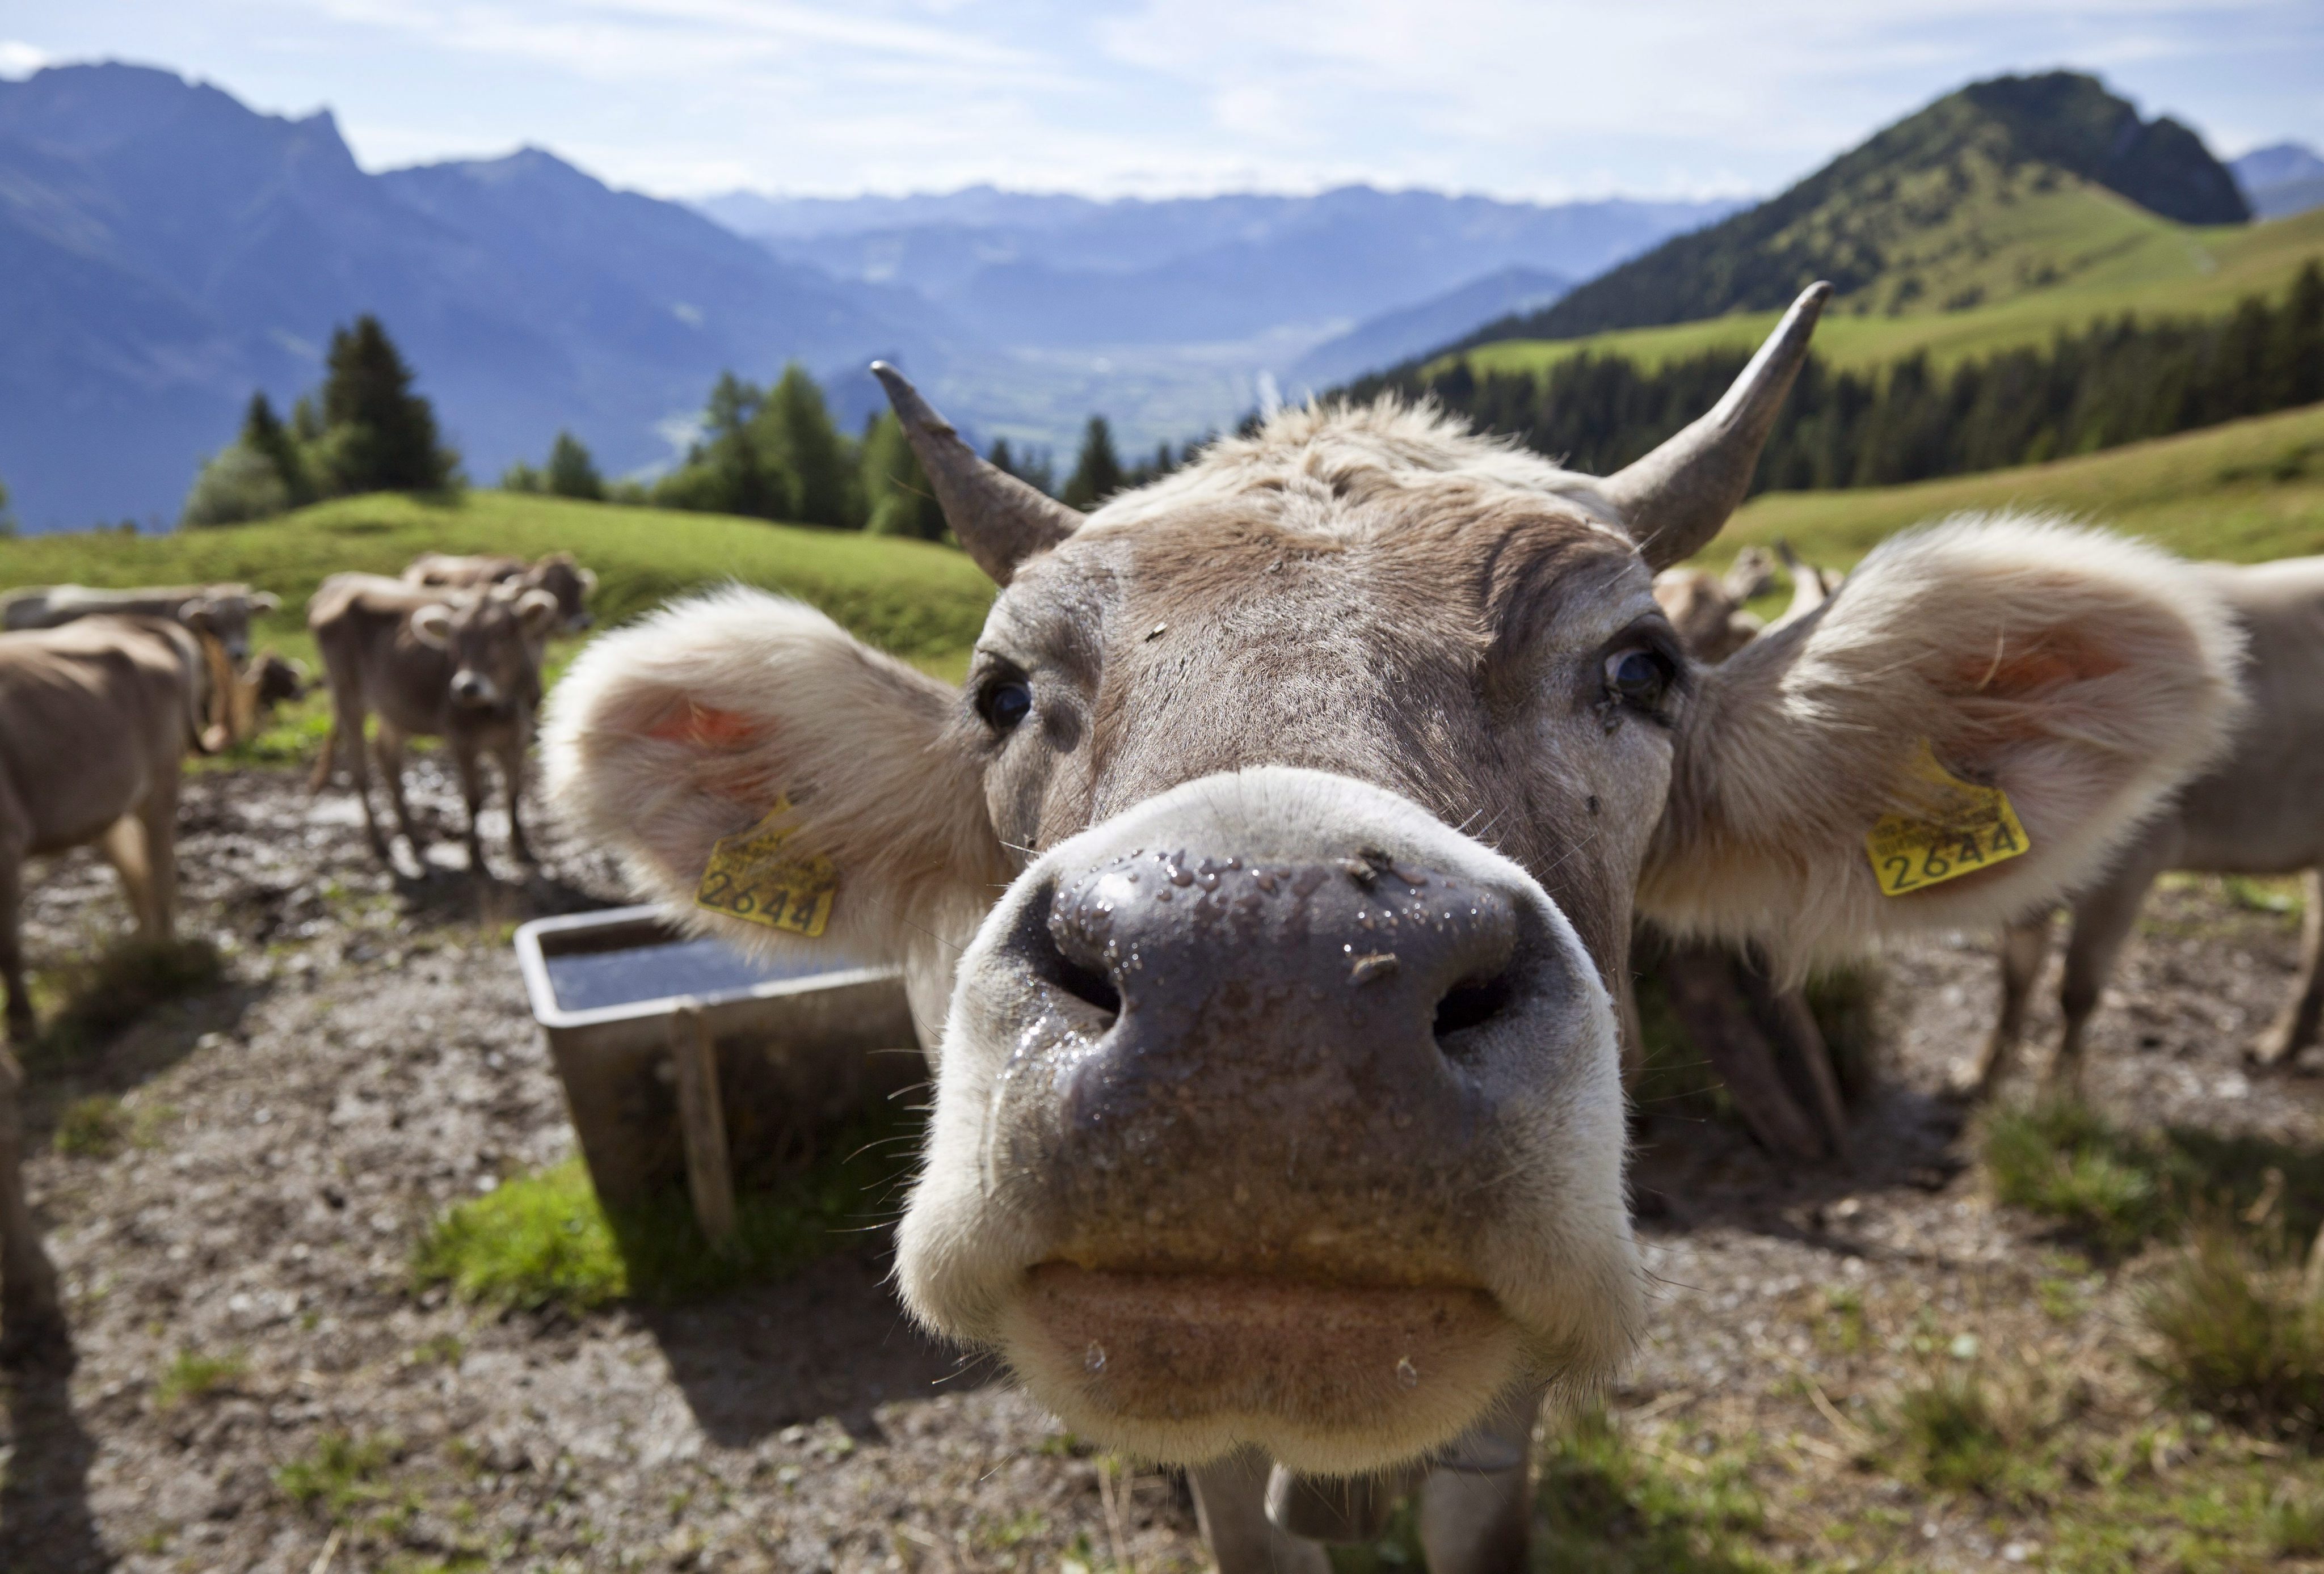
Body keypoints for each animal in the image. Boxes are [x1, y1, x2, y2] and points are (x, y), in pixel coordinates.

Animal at [309, 576, 562, 870]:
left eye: (502, 633)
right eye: (456, 637)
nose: (467, 687)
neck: (499, 709)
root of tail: (339, 583)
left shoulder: (517, 740)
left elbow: (513, 794)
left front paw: (521, 850)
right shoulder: (461, 738)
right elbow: (474, 800)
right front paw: (475, 858)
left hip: (392, 710)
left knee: (387, 758)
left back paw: (414, 837)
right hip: (346, 695)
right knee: (359, 769)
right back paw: (380, 845)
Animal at [1961, 558, 2324, 1097]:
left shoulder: (2133, 865)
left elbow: (2077, 986)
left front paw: (2058, 1090)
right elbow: (2014, 978)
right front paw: (1980, 1075)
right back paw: (2277, 1046)